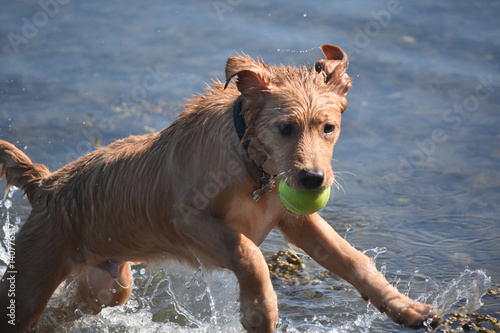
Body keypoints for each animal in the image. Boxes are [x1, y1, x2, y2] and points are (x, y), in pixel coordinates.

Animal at [0, 44, 440, 332]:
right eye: (285, 128)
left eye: (328, 128)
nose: (314, 180)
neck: (253, 166)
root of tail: (44, 184)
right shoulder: (189, 219)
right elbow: (249, 253)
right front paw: (260, 310)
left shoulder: (296, 220)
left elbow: (352, 260)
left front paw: (407, 308)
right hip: (31, 278)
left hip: (109, 284)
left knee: (65, 312)